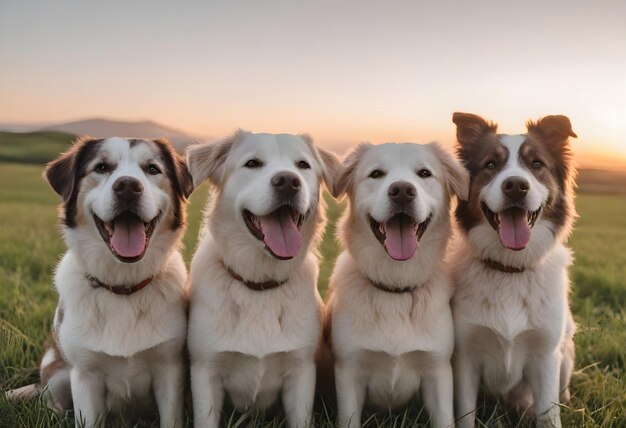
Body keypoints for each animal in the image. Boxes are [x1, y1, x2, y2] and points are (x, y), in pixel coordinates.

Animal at [185, 130, 338, 428]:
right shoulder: (205, 370)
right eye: (252, 163)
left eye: (302, 165)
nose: (288, 182)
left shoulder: (301, 371)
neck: (260, 284)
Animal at [324, 143, 466, 428]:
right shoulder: (349, 371)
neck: (395, 288)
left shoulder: (437, 370)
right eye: (376, 174)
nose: (402, 191)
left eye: (424, 173)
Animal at [448, 113, 576, 428]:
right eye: (491, 164)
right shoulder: (465, 355)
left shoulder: (545, 355)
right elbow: (465, 412)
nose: (516, 186)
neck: (509, 269)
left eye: (536, 164)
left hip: (566, 349)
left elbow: (548, 413)